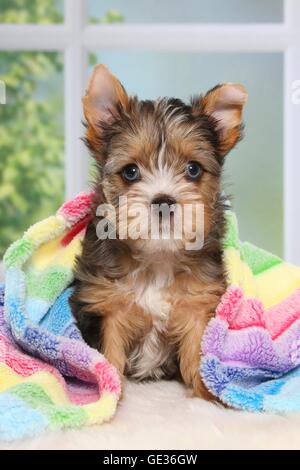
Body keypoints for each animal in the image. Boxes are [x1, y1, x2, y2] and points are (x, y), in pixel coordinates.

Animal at [71, 64, 248, 398]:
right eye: (130, 172)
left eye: (193, 169)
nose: (163, 200)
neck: (158, 256)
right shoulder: (105, 306)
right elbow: (108, 354)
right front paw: (110, 392)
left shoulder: (197, 306)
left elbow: (198, 352)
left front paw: (208, 394)